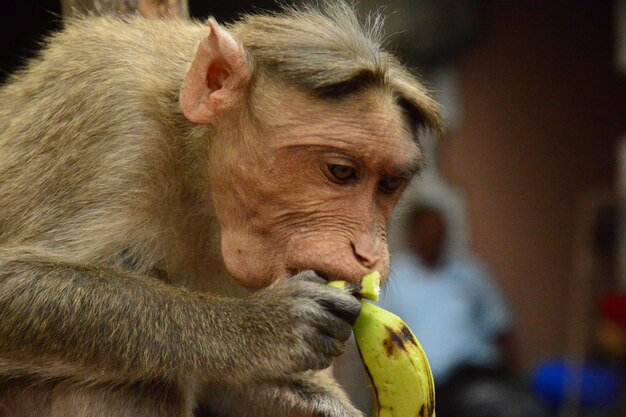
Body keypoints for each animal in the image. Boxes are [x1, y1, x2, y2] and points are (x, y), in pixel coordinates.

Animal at [0, 3, 438, 416]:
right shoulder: (111, 118)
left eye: (390, 184)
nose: (367, 254)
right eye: (342, 172)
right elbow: (11, 281)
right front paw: (264, 327)